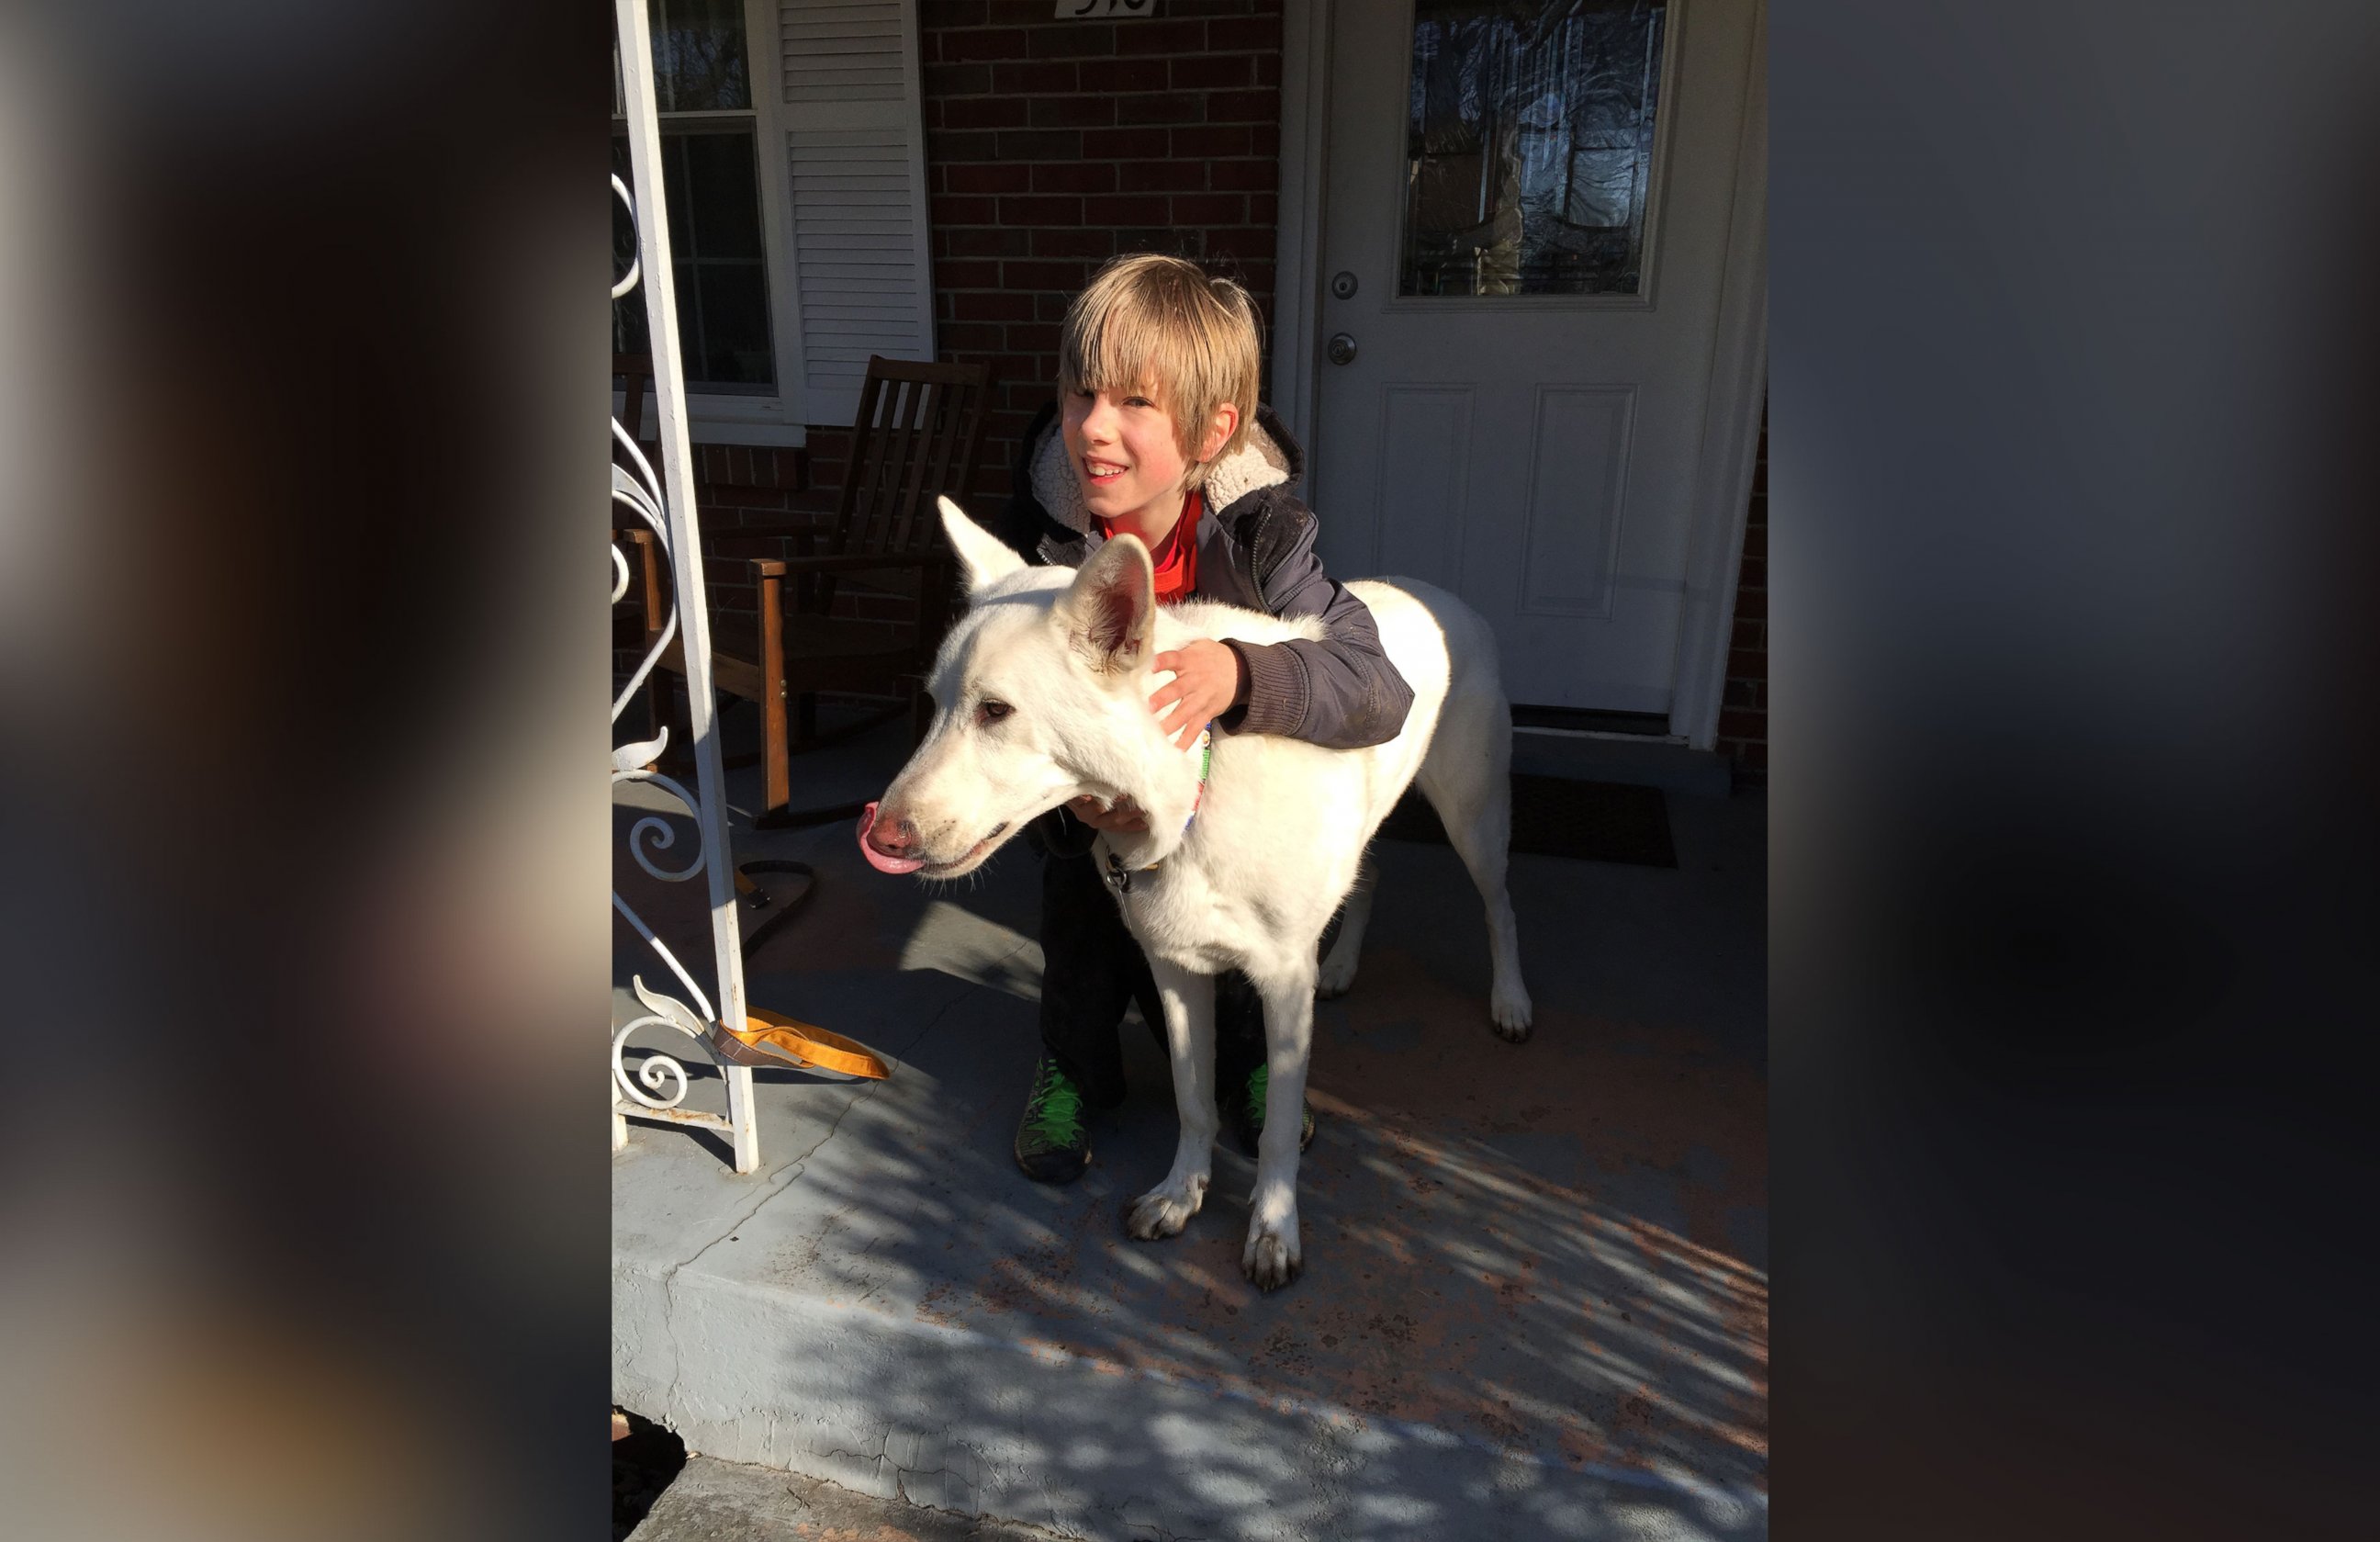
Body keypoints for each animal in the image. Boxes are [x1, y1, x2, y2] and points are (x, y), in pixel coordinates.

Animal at [866, 501, 1532, 1285]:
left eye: (995, 711)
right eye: (936, 705)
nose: (881, 836)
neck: (1193, 784)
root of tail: (1441, 593)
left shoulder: (1283, 984)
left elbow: (1276, 1128)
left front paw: (1273, 1229)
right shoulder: (1176, 969)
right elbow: (1192, 1098)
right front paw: (1181, 1194)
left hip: (1474, 818)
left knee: (1500, 907)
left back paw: (1511, 1001)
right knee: (1366, 880)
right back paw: (1342, 966)